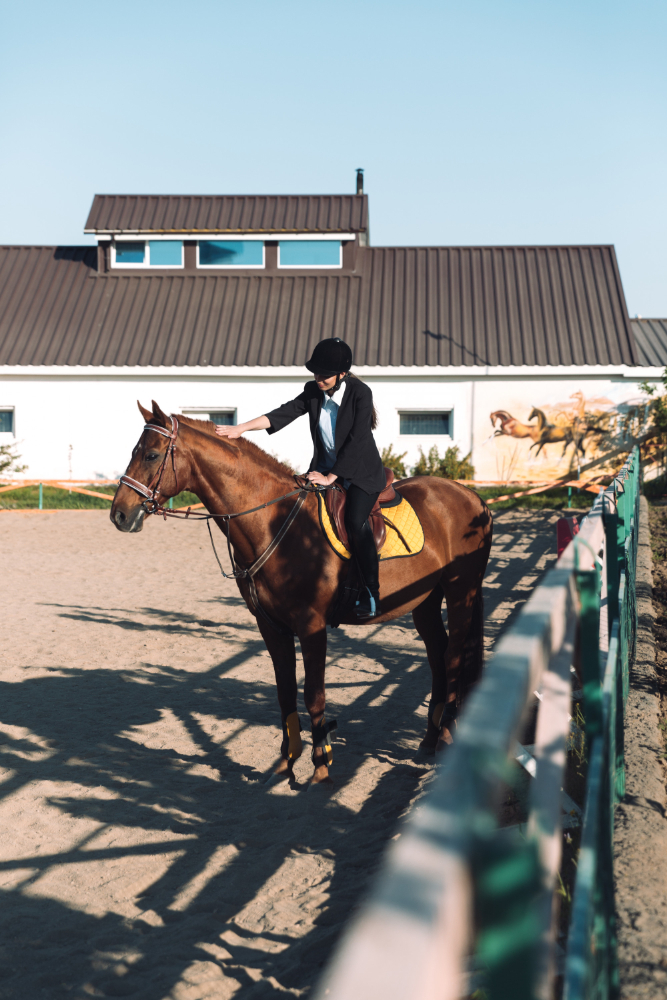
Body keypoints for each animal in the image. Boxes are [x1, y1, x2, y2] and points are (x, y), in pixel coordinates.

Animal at [110, 401, 493, 786]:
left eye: (152, 455)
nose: (119, 515)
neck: (274, 522)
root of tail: (471, 496)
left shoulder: (311, 626)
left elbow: (314, 695)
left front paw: (321, 765)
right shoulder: (271, 626)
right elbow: (285, 693)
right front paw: (285, 763)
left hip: (460, 590)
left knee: (453, 656)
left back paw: (444, 738)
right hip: (425, 601)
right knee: (437, 656)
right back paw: (429, 741)